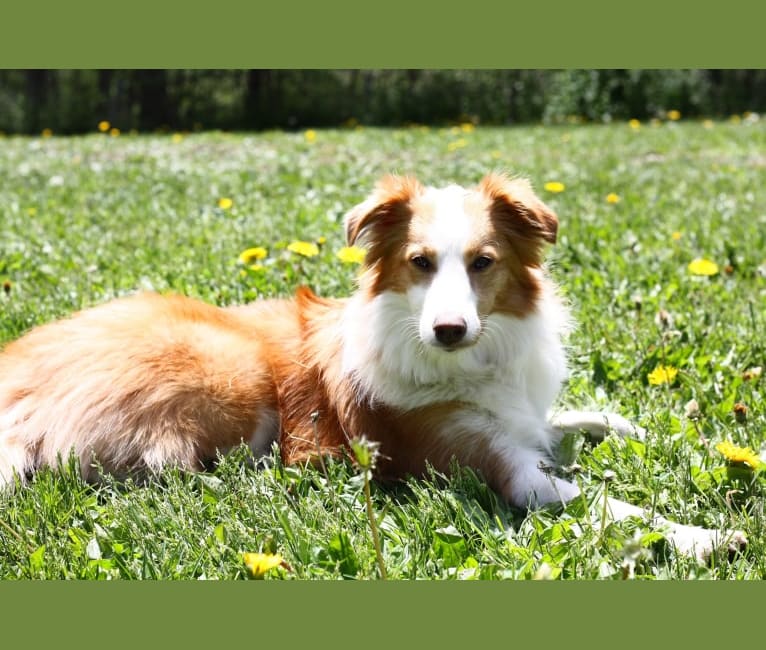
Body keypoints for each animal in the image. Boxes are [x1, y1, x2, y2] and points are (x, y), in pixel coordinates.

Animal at [0, 173, 744, 560]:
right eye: (419, 262)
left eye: (483, 262)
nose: (448, 329)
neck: (470, 362)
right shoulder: (507, 473)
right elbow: (608, 504)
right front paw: (703, 535)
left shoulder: (525, 420)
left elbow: (596, 415)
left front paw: (682, 437)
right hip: (230, 368)